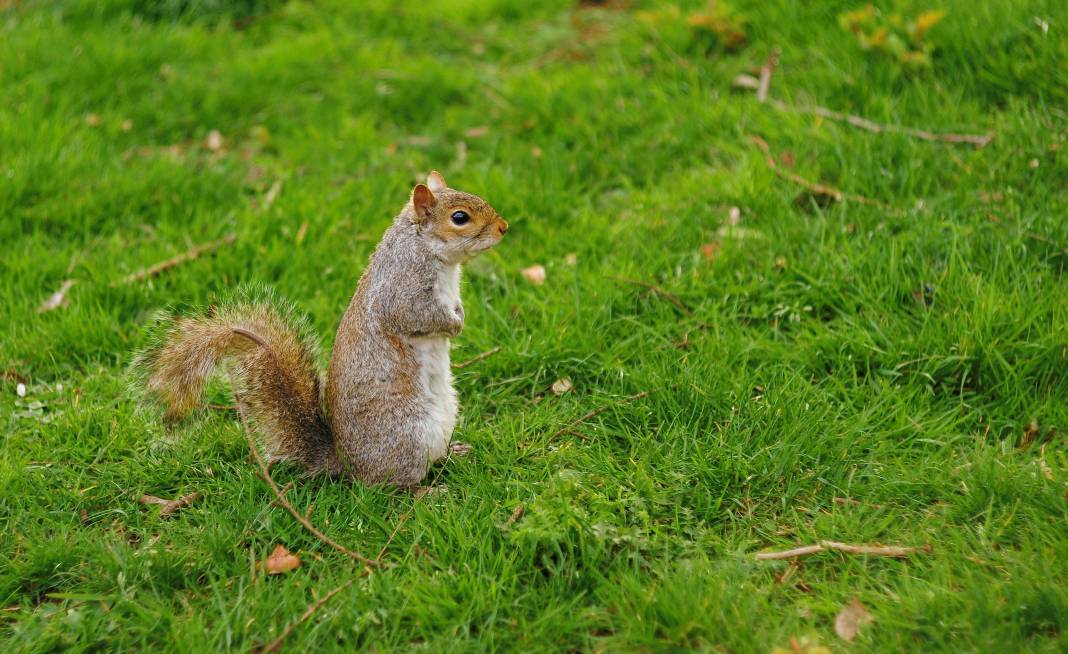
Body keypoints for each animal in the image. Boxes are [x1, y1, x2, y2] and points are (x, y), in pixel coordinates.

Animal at [132, 170, 508, 487]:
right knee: (392, 486)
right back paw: (427, 491)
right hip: (410, 435)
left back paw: (454, 453)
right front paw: (453, 325)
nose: (504, 227)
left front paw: (460, 315)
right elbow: (418, 317)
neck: (426, 249)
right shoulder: (403, 289)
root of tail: (349, 465)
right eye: (459, 218)